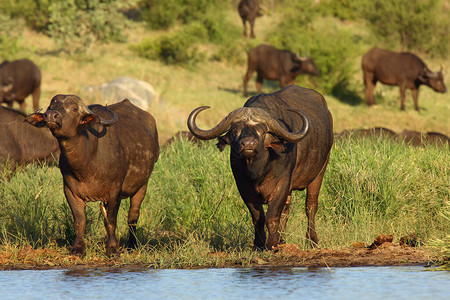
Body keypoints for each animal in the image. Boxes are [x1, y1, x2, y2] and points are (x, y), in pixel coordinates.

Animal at [25, 94, 160, 255]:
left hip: (142, 186)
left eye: (74, 108)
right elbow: (80, 220)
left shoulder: (115, 191)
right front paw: (78, 249)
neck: (86, 164)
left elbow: (111, 220)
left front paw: (112, 249)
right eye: (51, 106)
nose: (51, 115)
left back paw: (132, 245)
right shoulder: (70, 191)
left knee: (133, 216)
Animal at [187, 85, 334, 250]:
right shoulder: (243, 187)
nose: (248, 144)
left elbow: (272, 216)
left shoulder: (282, 184)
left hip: (320, 171)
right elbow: (258, 217)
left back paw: (311, 241)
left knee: (310, 206)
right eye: (234, 131)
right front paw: (259, 243)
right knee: (286, 211)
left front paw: (272, 243)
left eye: (263, 131)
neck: (258, 171)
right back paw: (283, 240)